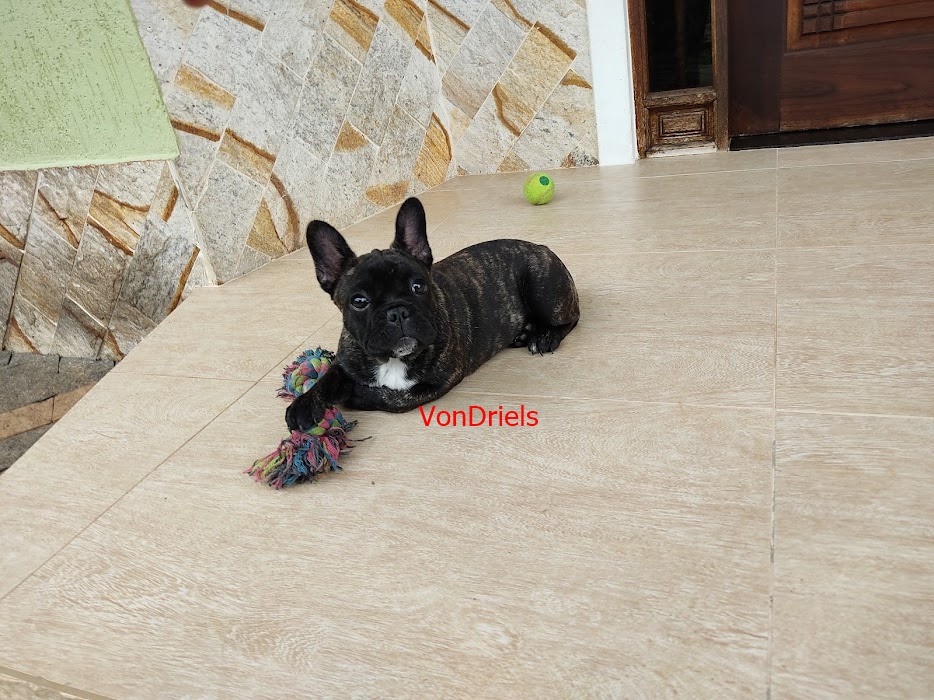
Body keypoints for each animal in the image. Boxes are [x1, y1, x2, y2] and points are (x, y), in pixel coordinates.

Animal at [285, 197, 580, 432]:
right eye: (359, 301)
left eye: (418, 286)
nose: (397, 311)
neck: (391, 359)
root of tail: (540, 247)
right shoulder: (346, 361)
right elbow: (327, 377)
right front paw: (304, 405)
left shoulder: (438, 381)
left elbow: (395, 398)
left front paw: (356, 394)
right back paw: (524, 333)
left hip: (542, 288)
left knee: (570, 319)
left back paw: (543, 337)